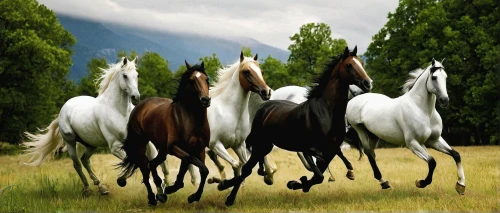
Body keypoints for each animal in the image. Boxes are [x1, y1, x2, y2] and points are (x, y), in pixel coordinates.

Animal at [23, 57, 170, 194]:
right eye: (125, 76)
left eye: (137, 75)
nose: (136, 97)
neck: (120, 112)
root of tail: (62, 110)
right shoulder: (115, 146)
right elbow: (138, 164)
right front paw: (152, 189)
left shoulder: (146, 142)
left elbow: (159, 163)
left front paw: (166, 186)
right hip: (70, 142)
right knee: (77, 164)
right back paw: (88, 189)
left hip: (92, 144)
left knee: (85, 160)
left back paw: (101, 187)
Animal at [116, 60, 210, 206]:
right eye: (191, 80)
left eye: (207, 79)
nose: (206, 100)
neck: (191, 121)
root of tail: (139, 105)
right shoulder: (173, 147)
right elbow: (194, 163)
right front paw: (179, 191)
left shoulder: (199, 149)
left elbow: (201, 170)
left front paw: (191, 195)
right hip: (142, 144)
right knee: (145, 166)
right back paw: (154, 197)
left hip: (161, 149)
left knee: (152, 163)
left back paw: (160, 193)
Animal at [217, 45, 374, 206]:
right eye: (349, 65)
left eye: (361, 63)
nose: (368, 83)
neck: (326, 111)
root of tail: (264, 107)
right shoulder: (307, 149)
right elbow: (318, 175)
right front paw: (295, 183)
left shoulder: (330, 150)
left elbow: (317, 176)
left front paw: (298, 183)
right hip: (260, 145)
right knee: (246, 169)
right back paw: (228, 194)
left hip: (266, 146)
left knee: (249, 168)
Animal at [346, 58, 466, 195]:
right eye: (434, 77)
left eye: (445, 77)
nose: (444, 101)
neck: (422, 110)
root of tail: (355, 99)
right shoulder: (412, 143)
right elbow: (432, 162)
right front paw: (421, 183)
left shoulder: (434, 140)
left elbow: (456, 155)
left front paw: (461, 186)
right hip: (360, 130)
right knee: (368, 153)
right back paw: (384, 183)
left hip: (374, 135)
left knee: (372, 153)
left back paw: (384, 183)